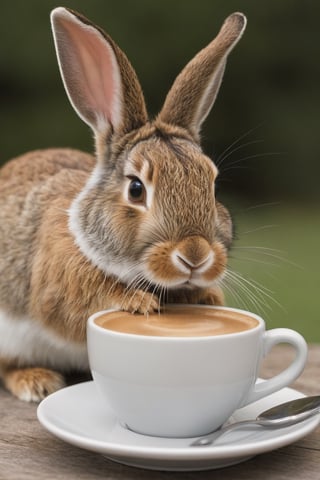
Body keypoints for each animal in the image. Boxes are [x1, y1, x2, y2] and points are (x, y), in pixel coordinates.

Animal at [0, 6, 246, 402]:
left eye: (213, 184)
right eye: (135, 189)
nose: (195, 256)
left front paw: (210, 299)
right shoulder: (57, 288)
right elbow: (73, 309)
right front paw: (140, 303)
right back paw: (36, 381)